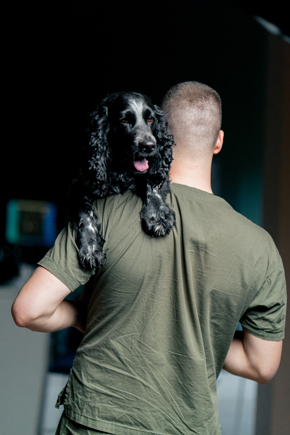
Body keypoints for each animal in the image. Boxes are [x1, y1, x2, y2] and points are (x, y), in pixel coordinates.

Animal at [69, 91, 176, 270]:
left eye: (150, 119)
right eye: (124, 120)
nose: (149, 146)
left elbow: (151, 182)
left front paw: (157, 214)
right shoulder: (76, 187)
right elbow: (84, 213)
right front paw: (91, 248)